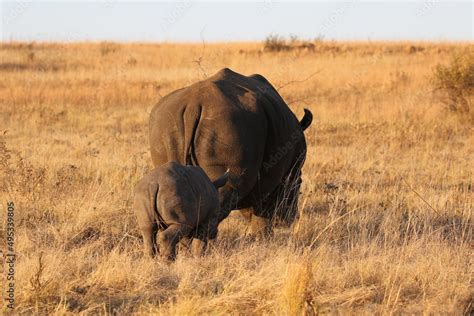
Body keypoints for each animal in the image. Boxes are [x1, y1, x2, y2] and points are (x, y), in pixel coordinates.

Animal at [148, 68, 312, 238]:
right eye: (298, 186)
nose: (290, 219)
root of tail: (193, 106)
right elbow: (262, 210)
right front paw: (263, 238)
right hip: (229, 125)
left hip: (166, 124)